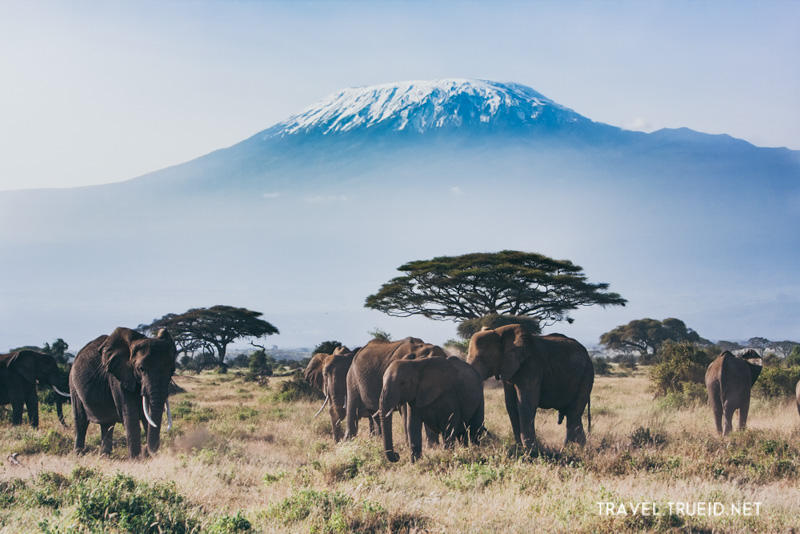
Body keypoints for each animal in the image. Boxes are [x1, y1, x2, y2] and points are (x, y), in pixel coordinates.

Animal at [70, 328, 177, 458]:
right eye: (141, 369)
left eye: (172, 370)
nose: (147, 451)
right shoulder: (118, 378)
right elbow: (130, 415)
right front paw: (135, 459)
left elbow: (147, 417)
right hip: (73, 385)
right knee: (80, 421)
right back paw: (78, 455)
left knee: (107, 425)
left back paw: (105, 457)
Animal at [462, 324, 592, 454]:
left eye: (483, 358)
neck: (499, 332)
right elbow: (511, 406)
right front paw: (519, 449)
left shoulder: (531, 367)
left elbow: (525, 405)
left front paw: (530, 451)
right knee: (574, 414)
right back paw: (578, 448)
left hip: (586, 376)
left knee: (573, 413)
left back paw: (570, 449)